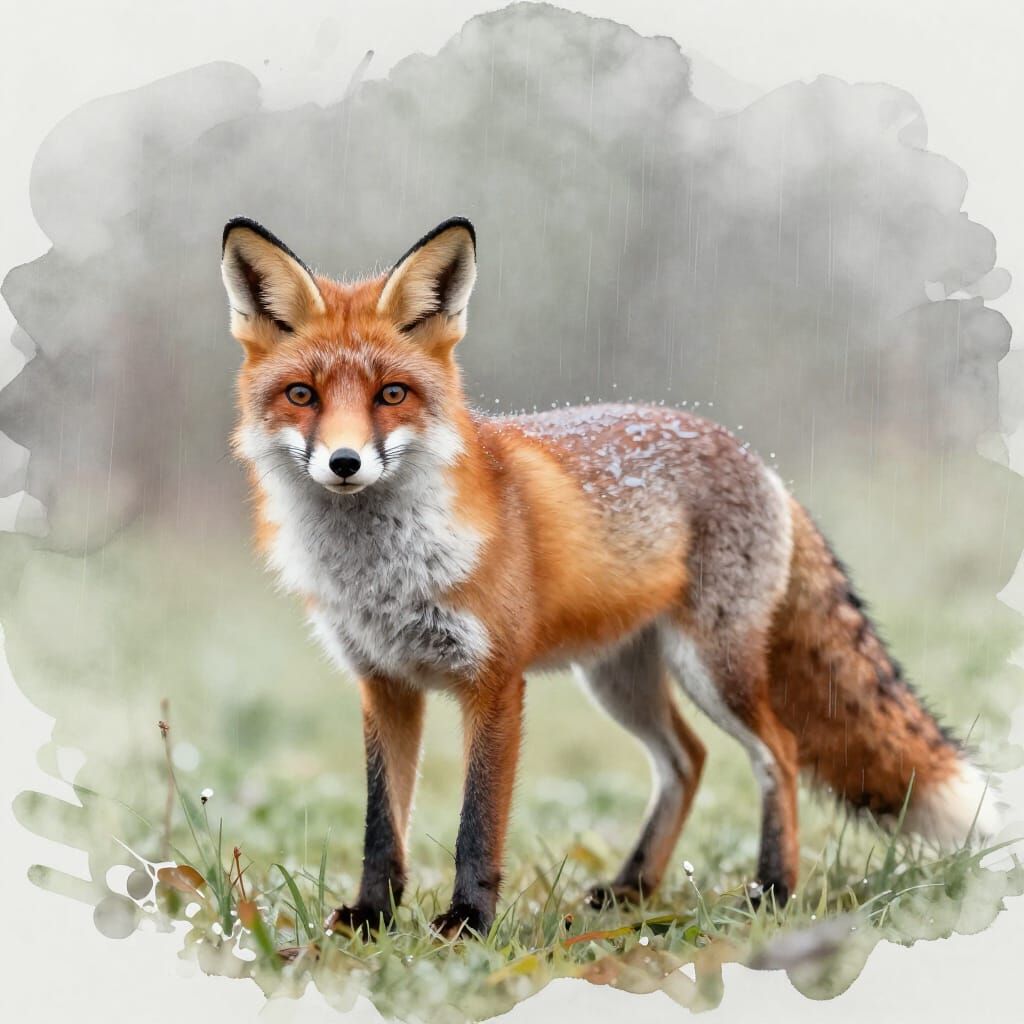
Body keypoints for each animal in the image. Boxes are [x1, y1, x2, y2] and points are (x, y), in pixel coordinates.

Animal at [220, 214, 999, 939]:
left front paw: (468, 923)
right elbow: (383, 826)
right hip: (620, 678)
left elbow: (478, 825)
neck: (382, 573)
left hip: (713, 669)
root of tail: (762, 464)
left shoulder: (495, 681)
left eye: (391, 395)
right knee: (687, 760)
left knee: (777, 752)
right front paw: (372, 917)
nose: (345, 463)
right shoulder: (384, 684)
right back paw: (633, 888)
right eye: (301, 395)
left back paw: (773, 889)